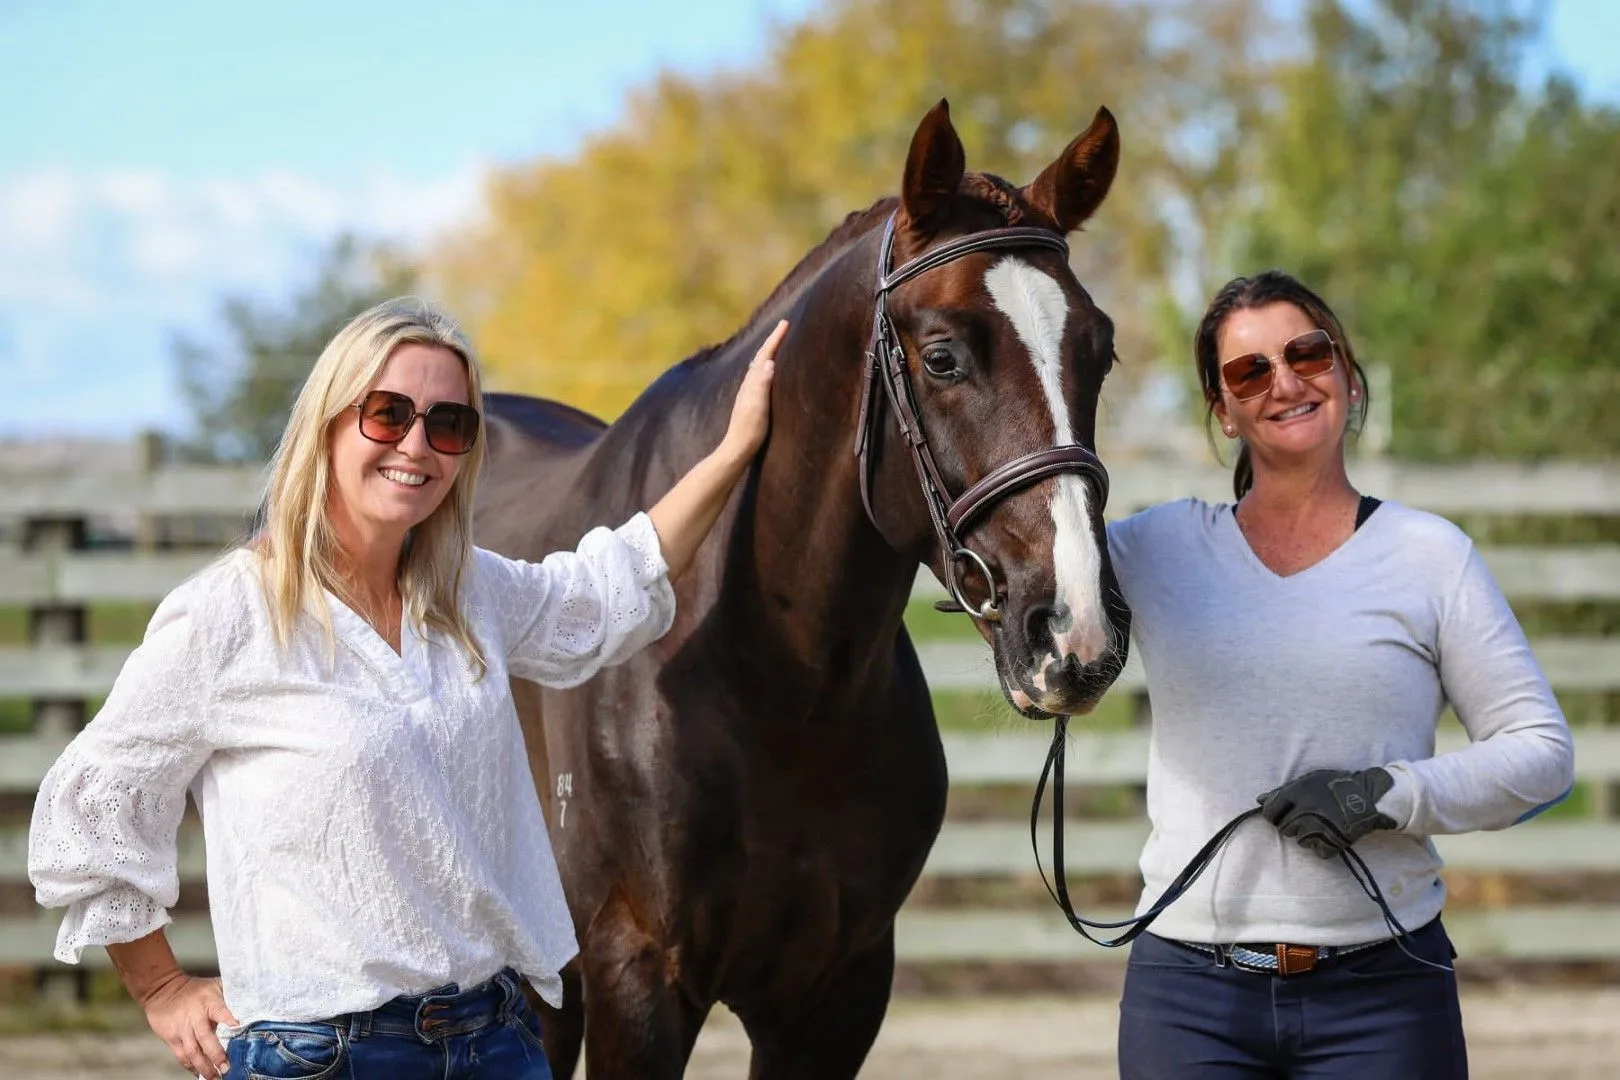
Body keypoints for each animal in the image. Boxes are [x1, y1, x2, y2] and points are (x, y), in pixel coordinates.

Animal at [473, 99, 1131, 1078]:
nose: (1077, 633)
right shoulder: (638, 977)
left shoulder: (837, 992)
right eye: (942, 357)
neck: (775, 680)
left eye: (1101, 353)